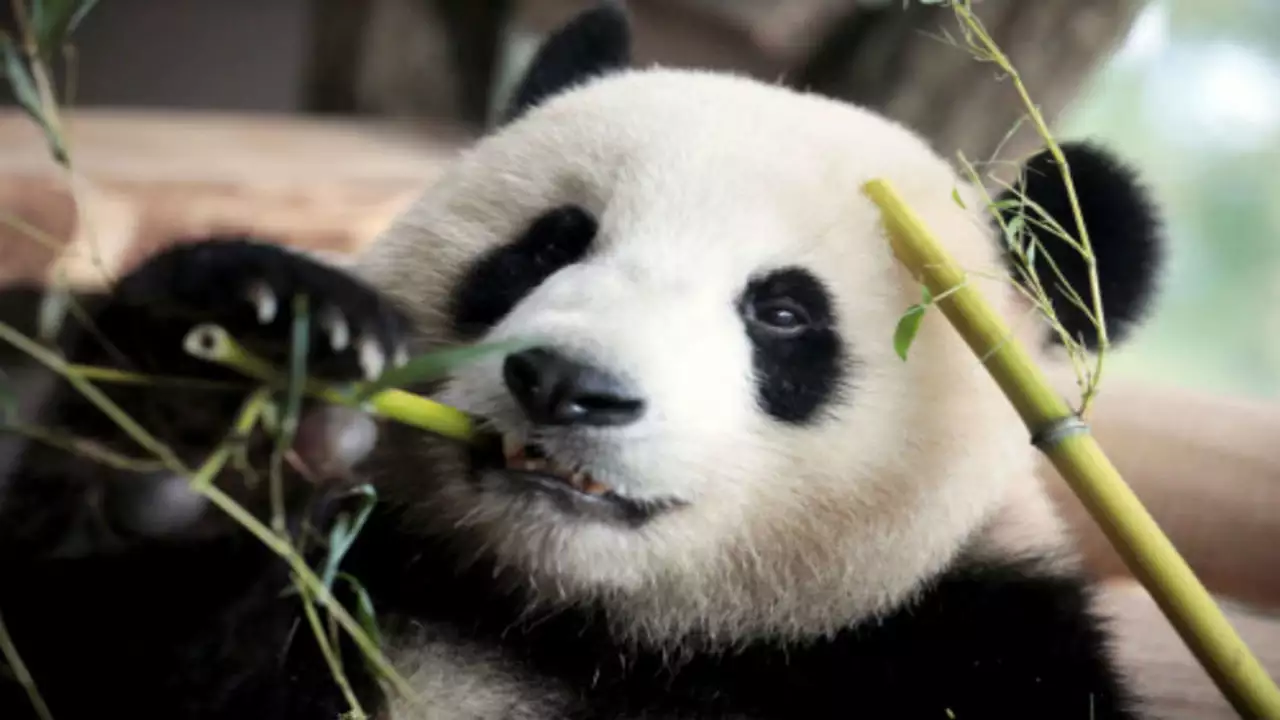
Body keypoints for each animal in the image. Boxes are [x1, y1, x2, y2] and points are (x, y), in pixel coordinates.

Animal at [0, 3, 1166, 719]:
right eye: (550, 243)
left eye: (784, 314)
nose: (566, 387)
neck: (579, 626)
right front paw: (206, 409)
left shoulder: (965, 649)